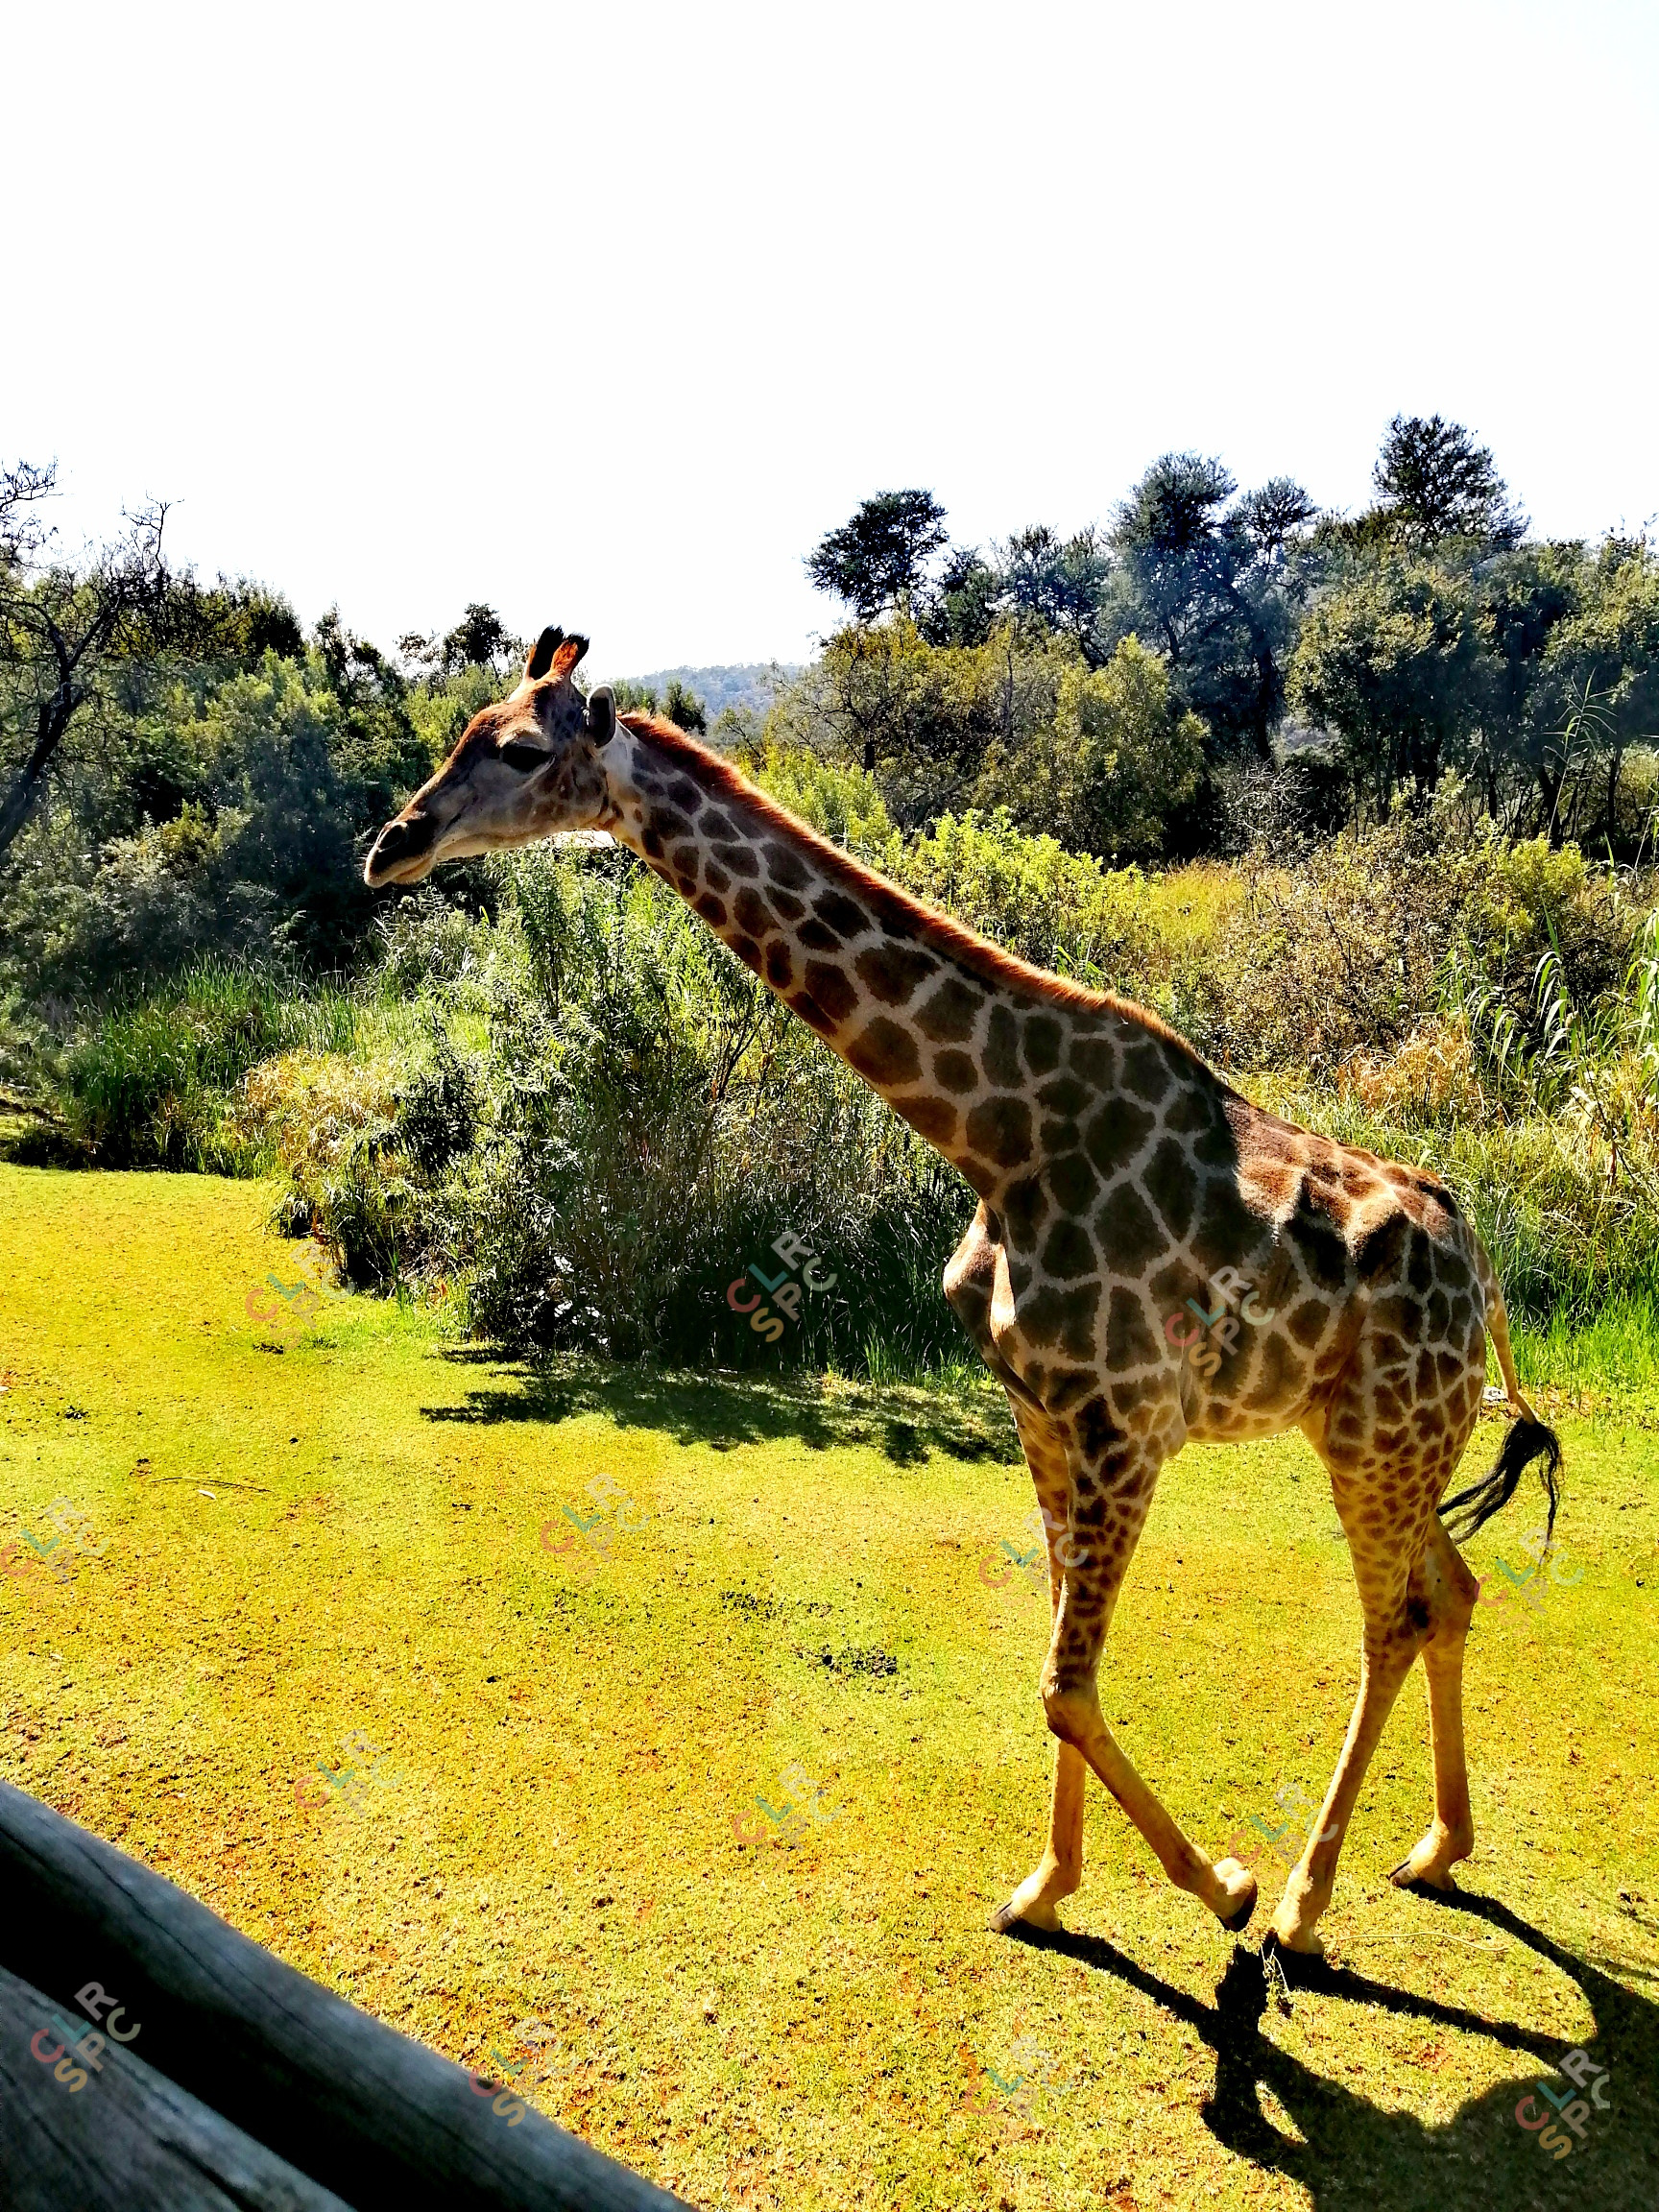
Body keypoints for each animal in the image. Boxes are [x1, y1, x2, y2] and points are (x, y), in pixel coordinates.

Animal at [365, 627, 1564, 1955]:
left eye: (522, 748)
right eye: (463, 729)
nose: (390, 844)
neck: (998, 1138)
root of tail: (1480, 1270)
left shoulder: (1128, 1422)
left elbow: (1064, 1682)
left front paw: (1223, 1885)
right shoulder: (1041, 1411)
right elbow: (1057, 1665)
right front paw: (1048, 1886)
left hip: (1379, 1439)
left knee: (1393, 1617)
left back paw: (1304, 1906)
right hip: (1389, 1439)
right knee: (1450, 1591)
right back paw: (1437, 1849)